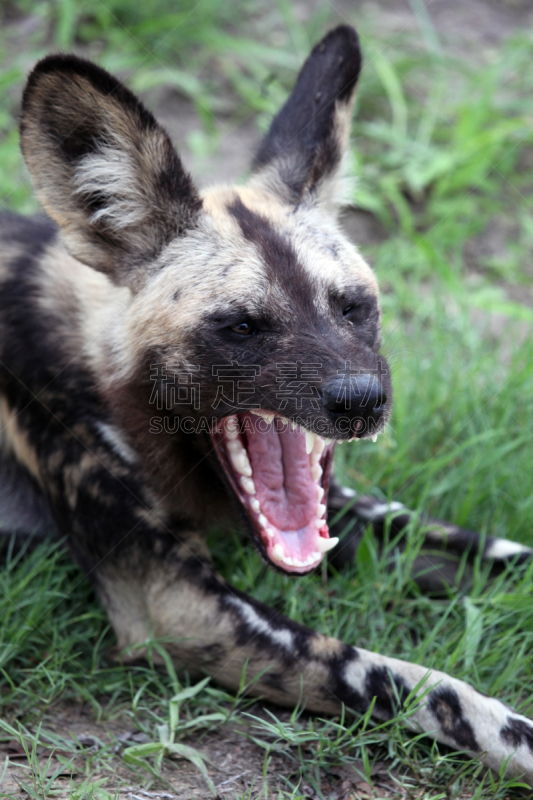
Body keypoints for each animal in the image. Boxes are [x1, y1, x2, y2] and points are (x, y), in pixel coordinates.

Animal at [1, 25, 532, 788]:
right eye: (242, 327)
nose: (362, 400)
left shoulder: (347, 509)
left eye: (352, 307)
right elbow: (420, 685)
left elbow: (496, 553)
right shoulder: (177, 608)